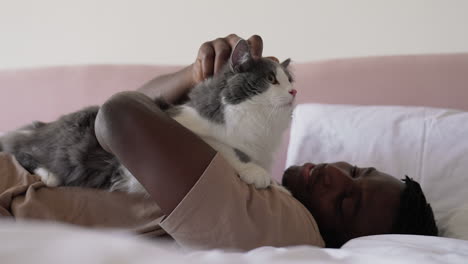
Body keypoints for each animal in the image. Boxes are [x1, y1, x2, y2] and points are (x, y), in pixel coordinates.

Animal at [0, 40, 296, 194]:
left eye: (289, 80)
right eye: (271, 79)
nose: (294, 91)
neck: (261, 126)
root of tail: (41, 127)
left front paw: (278, 184)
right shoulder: (185, 127)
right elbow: (228, 149)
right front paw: (257, 173)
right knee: (20, 152)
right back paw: (49, 176)